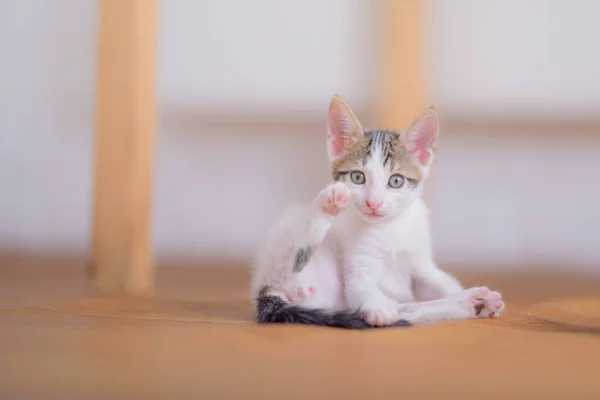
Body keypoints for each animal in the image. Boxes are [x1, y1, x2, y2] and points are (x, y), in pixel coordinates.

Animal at [251, 97, 504, 328]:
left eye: (396, 181)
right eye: (357, 177)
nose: (373, 203)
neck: (389, 229)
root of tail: (265, 289)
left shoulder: (421, 265)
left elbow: (440, 283)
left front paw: (469, 296)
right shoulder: (358, 269)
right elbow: (362, 289)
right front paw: (377, 308)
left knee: (407, 311)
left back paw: (472, 303)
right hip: (286, 243)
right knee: (296, 257)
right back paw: (328, 204)